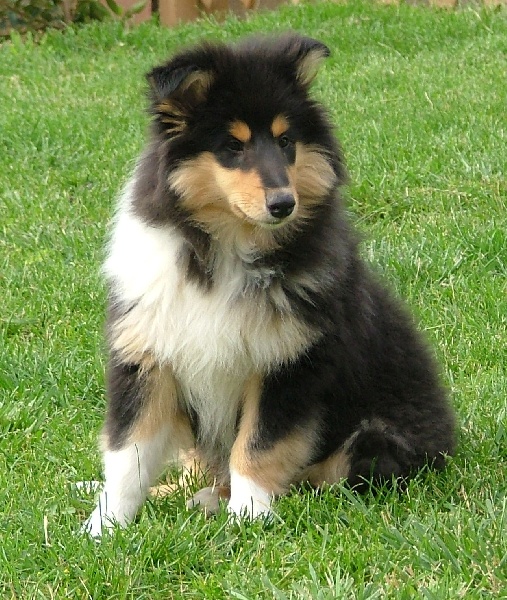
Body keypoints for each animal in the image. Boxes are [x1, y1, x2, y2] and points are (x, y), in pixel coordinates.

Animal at [84, 34, 455, 536]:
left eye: (285, 141)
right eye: (232, 145)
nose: (284, 204)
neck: (226, 249)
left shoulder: (288, 360)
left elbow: (258, 445)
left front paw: (248, 518)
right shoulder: (147, 353)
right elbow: (129, 452)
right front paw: (103, 527)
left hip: (375, 440)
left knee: (320, 477)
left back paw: (216, 501)